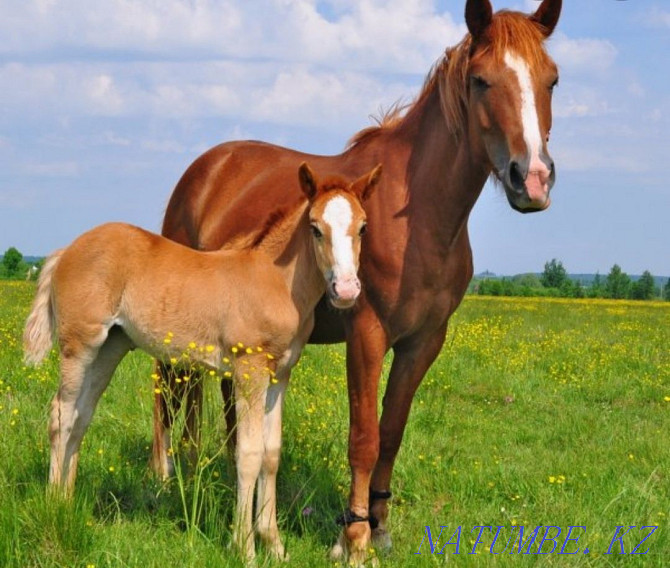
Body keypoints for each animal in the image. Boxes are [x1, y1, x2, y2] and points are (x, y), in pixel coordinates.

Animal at [23, 162, 380, 560]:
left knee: (81, 415)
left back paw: (67, 500)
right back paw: (54, 506)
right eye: (316, 228)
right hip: (79, 345)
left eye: (363, 227)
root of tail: (65, 250)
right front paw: (245, 548)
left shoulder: (280, 375)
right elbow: (248, 454)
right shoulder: (249, 371)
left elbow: (271, 454)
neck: (275, 280)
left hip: (109, 348)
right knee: (61, 413)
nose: (345, 290)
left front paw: (274, 545)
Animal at [155, 0, 564, 560]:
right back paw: (166, 478)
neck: (415, 217)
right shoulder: (367, 335)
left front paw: (381, 527)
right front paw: (352, 539)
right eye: (481, 80)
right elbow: (364, 437)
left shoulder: (423, 342)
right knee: (168, 395)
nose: (534, 179)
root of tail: (205, 169)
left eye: (552, 80)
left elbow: (391, 433)